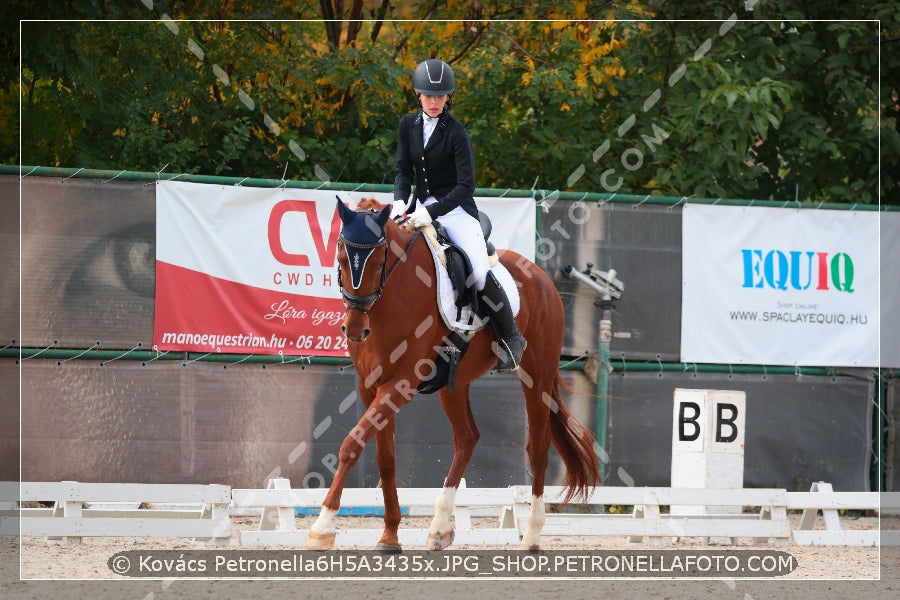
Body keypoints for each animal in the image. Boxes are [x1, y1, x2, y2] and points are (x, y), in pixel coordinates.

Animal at [306, 198, 600, 552]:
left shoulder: (399, 385)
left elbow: (351, 443)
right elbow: (385, 458)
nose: (354, 330)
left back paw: (530, 536)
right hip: (455, 384)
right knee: (467, 437)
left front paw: (321, 529)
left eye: (378, 263)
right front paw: (389, 537)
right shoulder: (371, 386)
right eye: (341, 260)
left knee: (538, 449)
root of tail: (542, 277)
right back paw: (440, 528)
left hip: (537, 376)